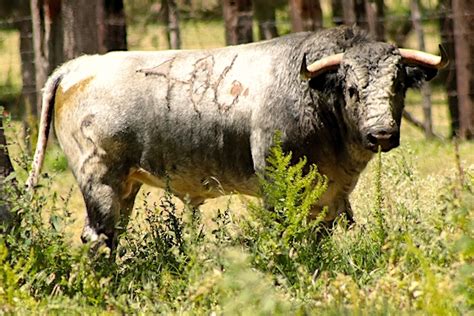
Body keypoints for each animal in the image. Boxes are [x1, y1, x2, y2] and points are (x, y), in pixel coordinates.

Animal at [26, 26, 448, 249]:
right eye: (351, 88)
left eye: (398, 84)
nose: (381, 133)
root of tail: (80, 65)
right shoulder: (279, 186)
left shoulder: (330, 197)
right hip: (100, 184)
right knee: (98, 238)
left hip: (126, 187)